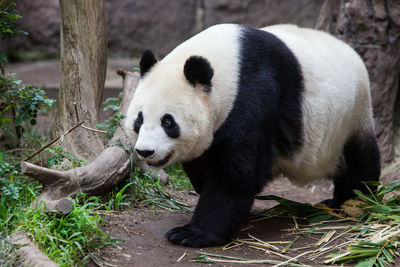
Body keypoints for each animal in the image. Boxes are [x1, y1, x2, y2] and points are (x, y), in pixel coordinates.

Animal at [126, 24, 382, 248]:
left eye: (168, 122)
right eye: (139, 120)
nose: (146, 151)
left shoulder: (253, 98)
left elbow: (235, 176)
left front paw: (192, 234)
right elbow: (203, 164)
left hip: (351, 116)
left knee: (359, 161)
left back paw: (351, 201)